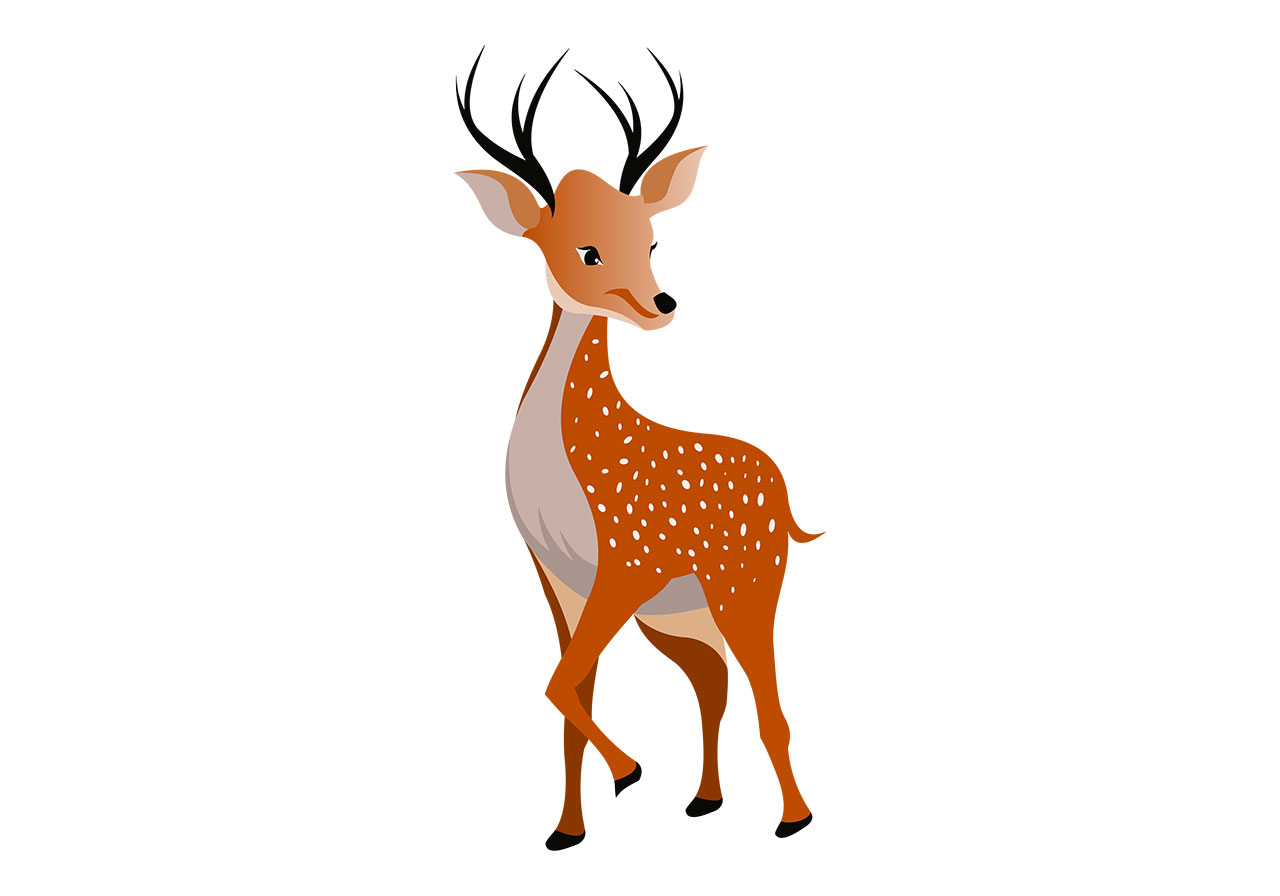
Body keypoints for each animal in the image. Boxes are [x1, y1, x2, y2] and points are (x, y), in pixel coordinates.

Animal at [455, 48, 821, 850]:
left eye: (652, 239)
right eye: (586, 248)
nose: (663, 304)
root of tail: (782, 490)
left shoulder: (627, 562)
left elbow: (557, 684)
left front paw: (629, 772)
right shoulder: (558, 578)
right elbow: (567, 692)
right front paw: (568, 830)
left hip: (748, 582)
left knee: (767, 700)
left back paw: (794, 818)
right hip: (681, 614)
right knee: (713, 683)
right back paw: (706, 800)